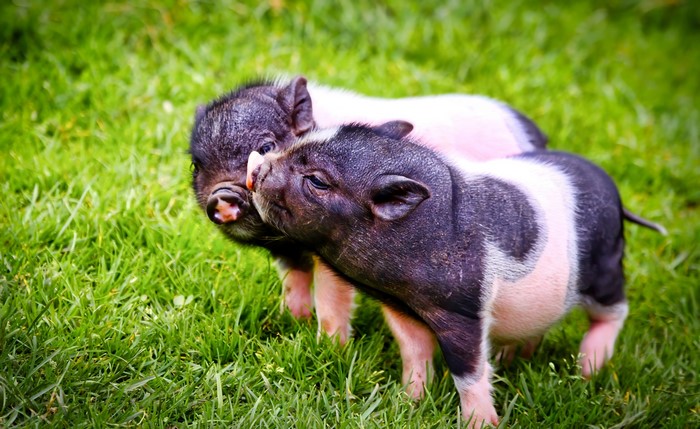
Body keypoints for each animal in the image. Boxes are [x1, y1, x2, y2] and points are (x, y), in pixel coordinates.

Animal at [189, 76, 550, 397]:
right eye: (197, 166)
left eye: (265, 146)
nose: (221, 196)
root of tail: (535, 134)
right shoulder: (289, 253)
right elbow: (294, 283)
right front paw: (290, 321)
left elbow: (331, 302)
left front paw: (328, 349)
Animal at [247, 121, 651, 427]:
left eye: (317, 180)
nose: (256, 164)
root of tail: (614, 193)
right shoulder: (402, 307)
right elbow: (413, 352)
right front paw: (407, 402)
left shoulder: (464, 309)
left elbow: (468, 372)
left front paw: (480, 424)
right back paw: (513, 358)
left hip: (605, 269)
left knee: (616, 311)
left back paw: (588, 370)